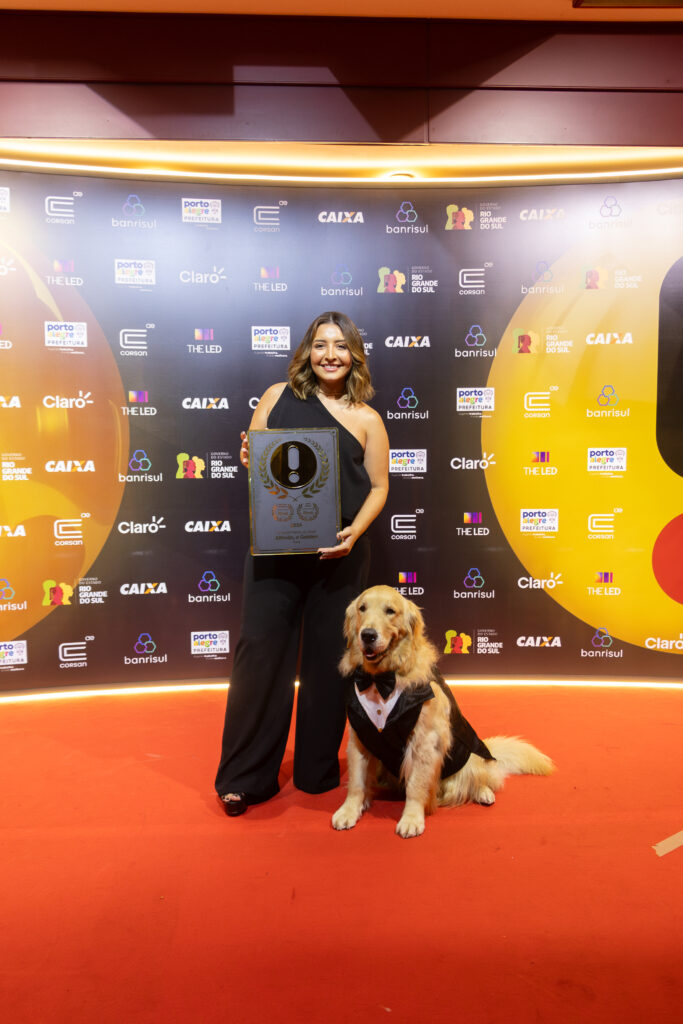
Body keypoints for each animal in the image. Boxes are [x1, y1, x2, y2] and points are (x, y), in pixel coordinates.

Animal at [331, 589, 557, 835]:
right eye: (362, 608)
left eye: (390, 611)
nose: (368, 635)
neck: (382, 678)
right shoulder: (360, 737)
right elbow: (357, 782)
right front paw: (349, 811)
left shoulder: (424, 741)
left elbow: (416, 786)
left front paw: (411, 818)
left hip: (471, 758)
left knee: (480, 779)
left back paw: (484, 793)